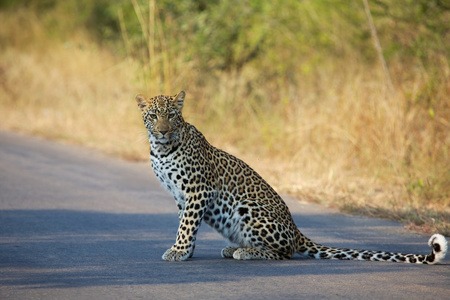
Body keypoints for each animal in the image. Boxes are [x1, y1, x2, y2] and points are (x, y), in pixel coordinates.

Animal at [136, 90, 446, 264]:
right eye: (153, 116)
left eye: (172, 116)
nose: (162, 131)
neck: (161, 149)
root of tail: (297, 231)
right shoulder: (181, 196)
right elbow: (185, 222)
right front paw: (185, 251)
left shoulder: (198, 191)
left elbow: (187, 225)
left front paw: (178, 251)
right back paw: (237, 248)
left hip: (248, 207)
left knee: (284, 252)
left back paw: (245, 252)